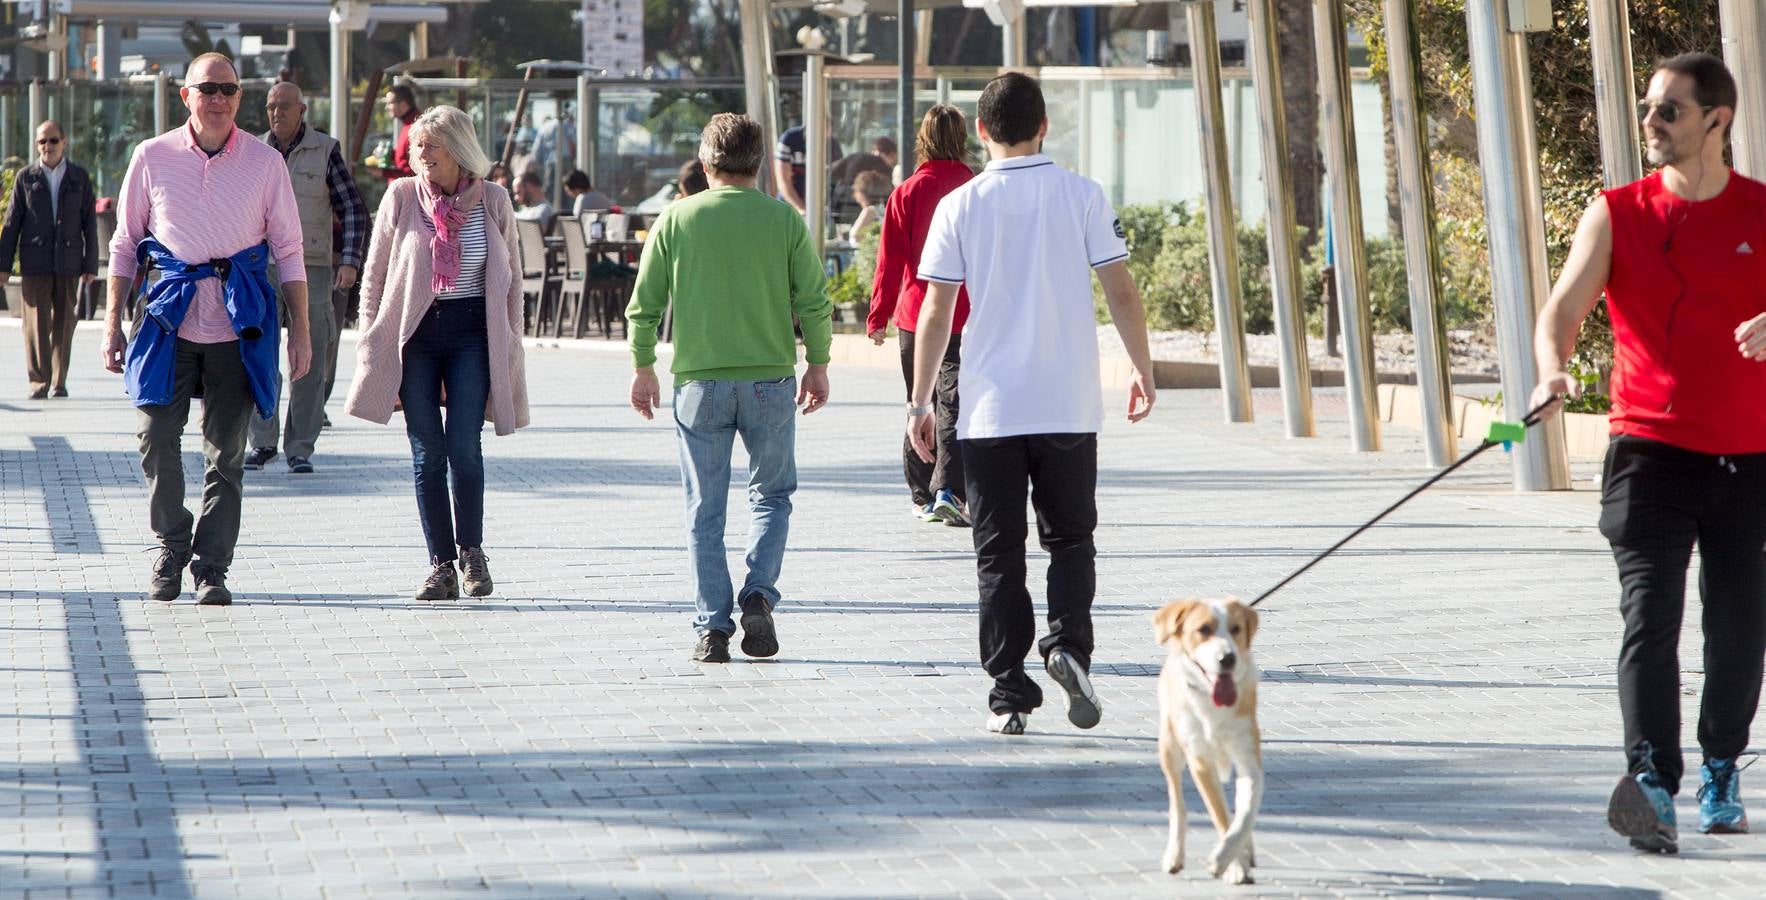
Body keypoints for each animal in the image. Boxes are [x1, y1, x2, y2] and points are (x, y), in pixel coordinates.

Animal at [1151, 596, 1264, 885]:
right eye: (1203, 629)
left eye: (1236, 629)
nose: (1227, 658)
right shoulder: (1200, 759)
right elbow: (1220, 816)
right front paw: (1232, 866)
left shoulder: (1248, 757)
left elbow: (1245, 812)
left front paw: (1228, 855)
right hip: (1169, 747)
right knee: (1178, 804)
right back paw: (1175, 856)